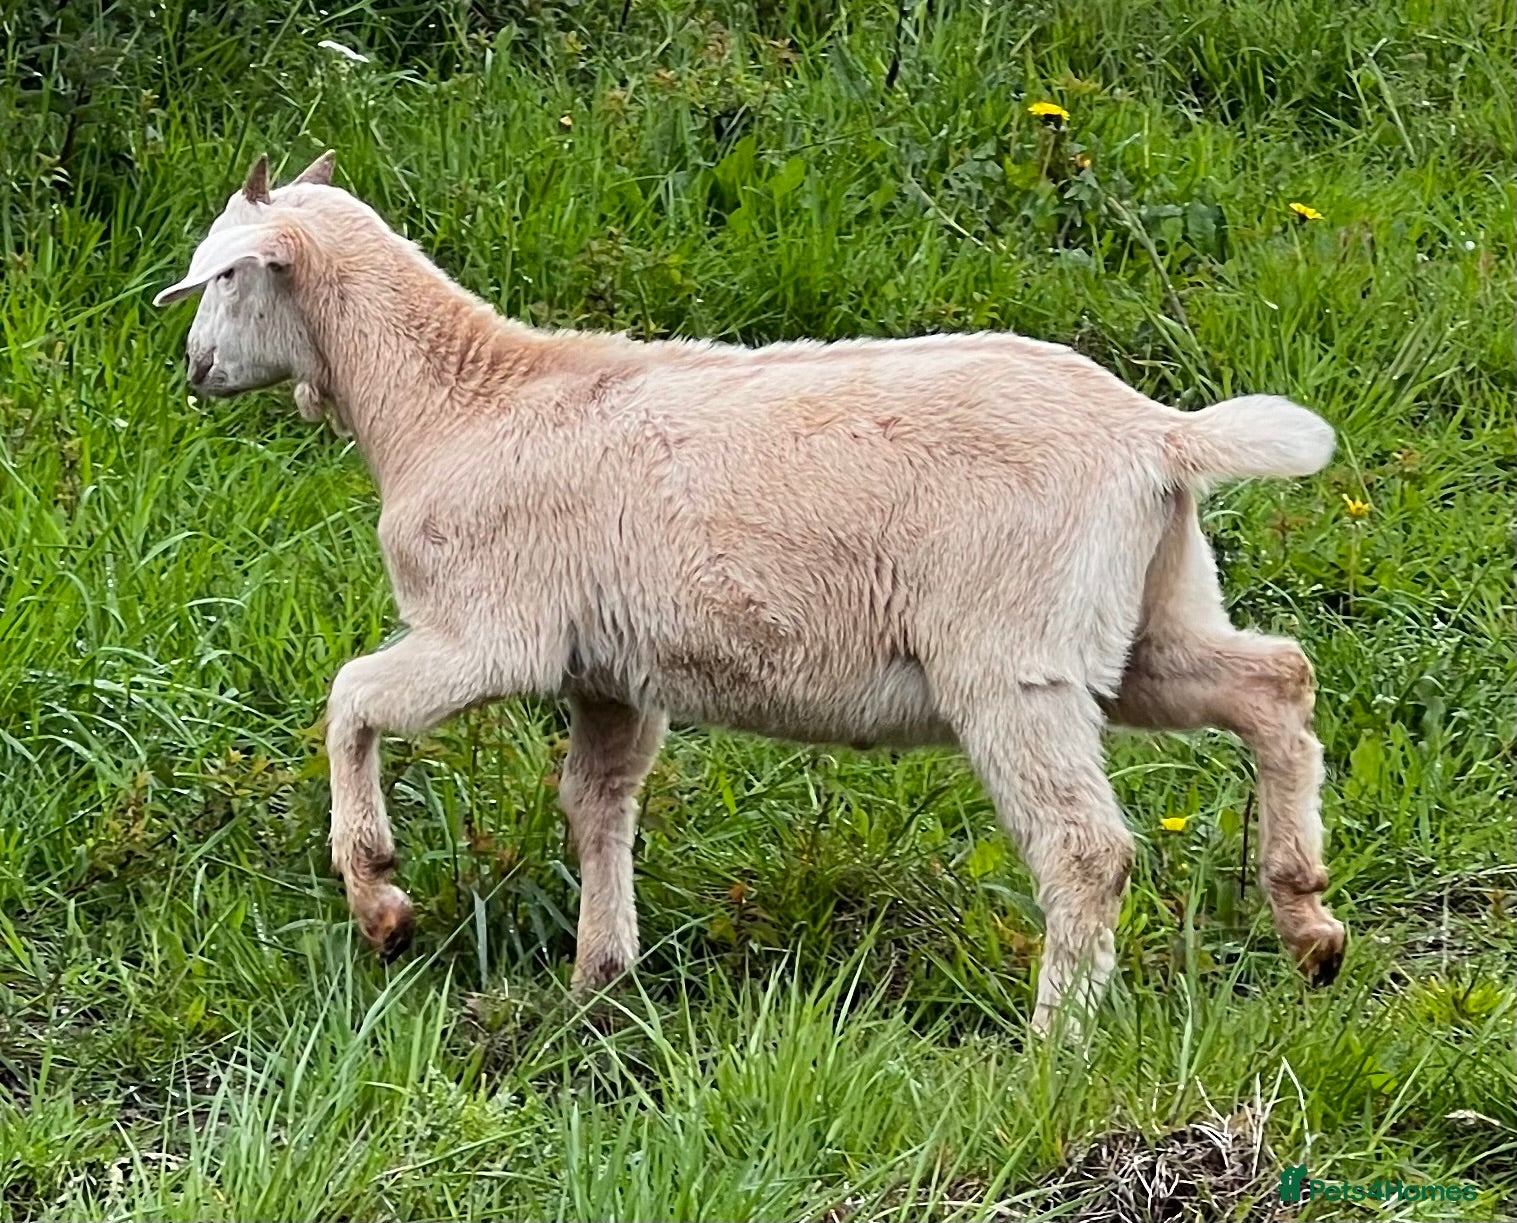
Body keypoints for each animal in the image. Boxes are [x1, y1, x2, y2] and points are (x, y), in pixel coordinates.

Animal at [152, 152, 1346, 1034]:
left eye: (224, 276)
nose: (193, 370)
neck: (451, 404)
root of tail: (1158, 437)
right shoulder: (609, 668)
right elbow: (596, 799)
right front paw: (599, 976)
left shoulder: (491, 630)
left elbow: (351, 696)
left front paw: (380, 898)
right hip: (1141, 619)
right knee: (1272, 679)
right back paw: (1308, 923)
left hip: (1013, 659)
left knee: (1086, 847)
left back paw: (1056, 1039)